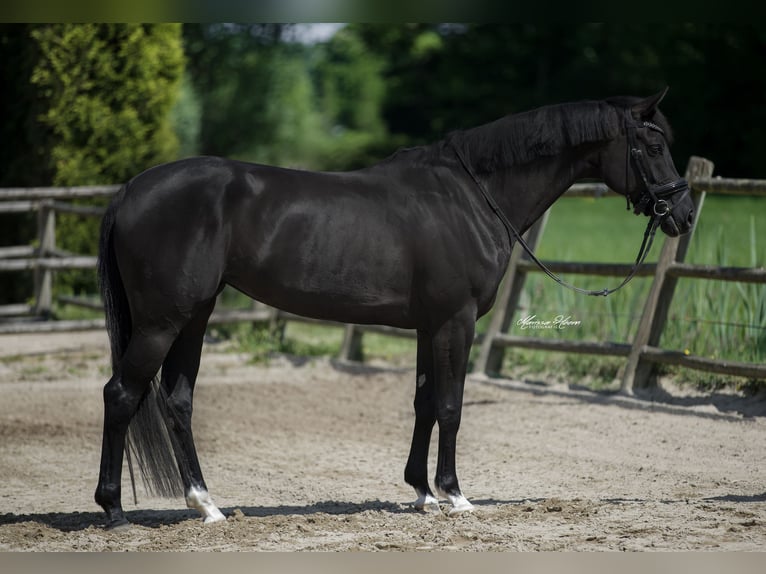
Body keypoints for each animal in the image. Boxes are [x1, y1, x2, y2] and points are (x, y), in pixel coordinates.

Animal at [94, 88, 694, 529]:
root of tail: (128, 191)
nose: (685, 214)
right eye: (654, 144)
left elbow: (424, 403)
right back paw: (114, 509)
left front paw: (422, 492)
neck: (470, 197)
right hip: (162, 322)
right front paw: (455, 496)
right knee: (122, 394)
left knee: (177, 401)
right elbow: (451, 406)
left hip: (193, 318)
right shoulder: (455, 322)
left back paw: (207, 506)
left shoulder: (430, 327)